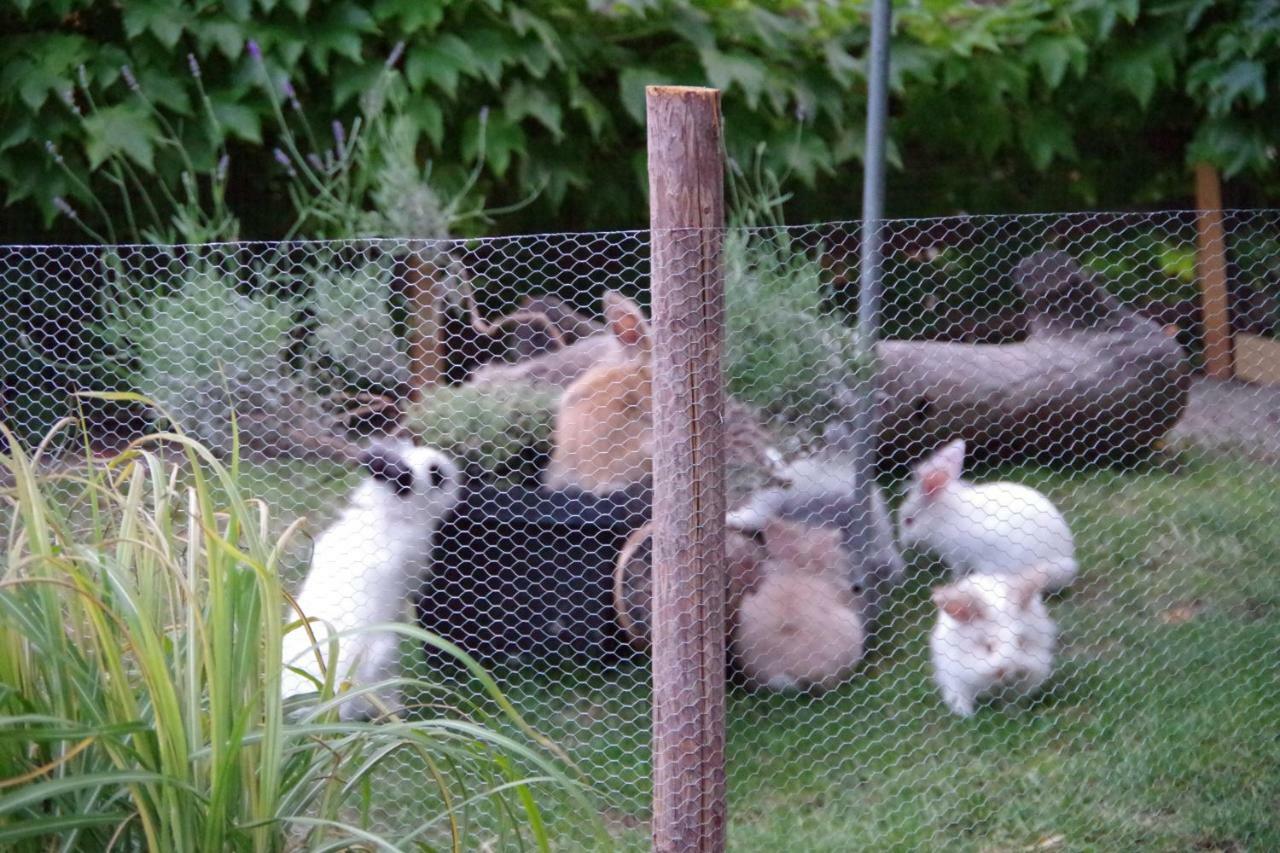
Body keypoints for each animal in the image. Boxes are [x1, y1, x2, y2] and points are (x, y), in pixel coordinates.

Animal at [901, 438, 1080, 591]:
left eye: (909, 521)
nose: (903, 543)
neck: (940, 518)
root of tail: (1066, 565)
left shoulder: (956, 556)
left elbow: (957, 571)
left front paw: (951, 581)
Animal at [926, 568, 1054, 712]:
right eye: (988, 647)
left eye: (1020, 642)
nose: (1008, 673)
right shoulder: (955, 676)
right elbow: (961, 696)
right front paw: (964, 713)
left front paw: (1012, 711)